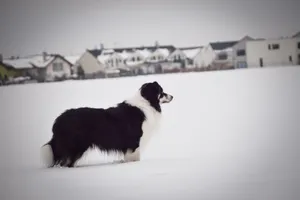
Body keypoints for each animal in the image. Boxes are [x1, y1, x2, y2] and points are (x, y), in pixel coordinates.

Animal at [41, 81, 173, 167]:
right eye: (161, 92)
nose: (172, 96)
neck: (147, 102)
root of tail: (58, 120)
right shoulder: (135, 142)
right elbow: (134, 158)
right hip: (76, 145)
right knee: (66, 162)